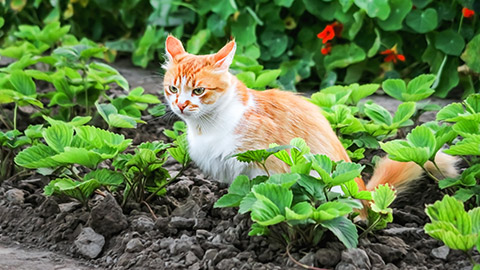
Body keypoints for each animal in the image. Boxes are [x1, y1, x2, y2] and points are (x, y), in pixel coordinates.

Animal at [162, 35, 458, 194]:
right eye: (173, 88)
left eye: (199, 90)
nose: (181, 105)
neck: (206, 127)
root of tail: (363, 195)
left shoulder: (263, 163)